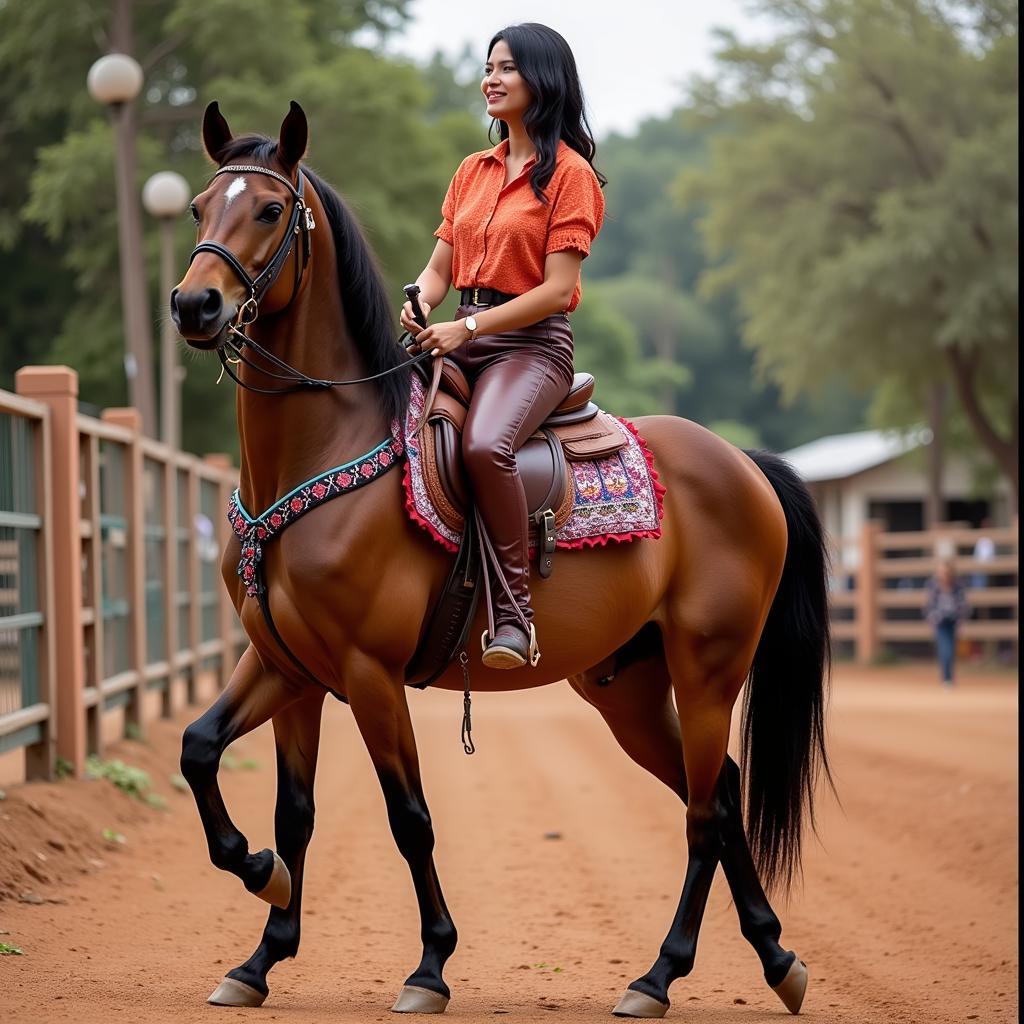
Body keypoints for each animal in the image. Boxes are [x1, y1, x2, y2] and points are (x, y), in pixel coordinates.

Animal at [176, 103, 831, 1015]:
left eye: (270, 210)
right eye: (200, 206)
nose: (193, 304)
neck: (324, 452)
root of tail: (744, 464)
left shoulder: (369, 672)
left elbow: (409, 818)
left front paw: (429, 967)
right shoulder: (285, 664)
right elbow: (237, 776)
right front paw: (261, 932)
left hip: (709, 671)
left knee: (705, 813)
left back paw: (659, 976)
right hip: (628, 692)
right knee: (725, 797)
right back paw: (775, 959)